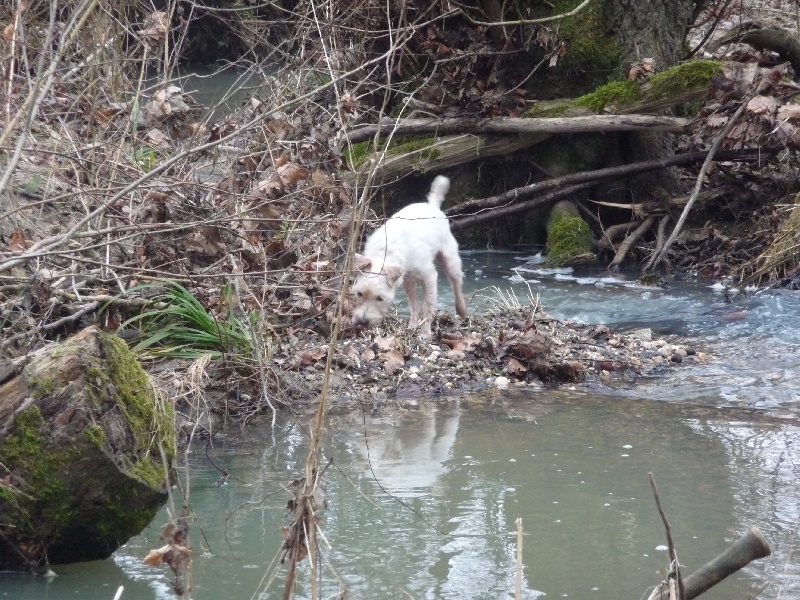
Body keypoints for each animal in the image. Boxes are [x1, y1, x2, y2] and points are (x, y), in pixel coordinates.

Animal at [352, 176, 468, 340]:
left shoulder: (430, 277)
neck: (386, 252)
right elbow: (415, 305)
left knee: (456, 283)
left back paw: (462, 310)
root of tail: (432, 205)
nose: (362, 322)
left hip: (450, 260)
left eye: (380, 298)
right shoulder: (406, 280)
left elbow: (428, 306)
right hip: (409, 280)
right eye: (359, 293)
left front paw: (425, 333)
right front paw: (412, 326)